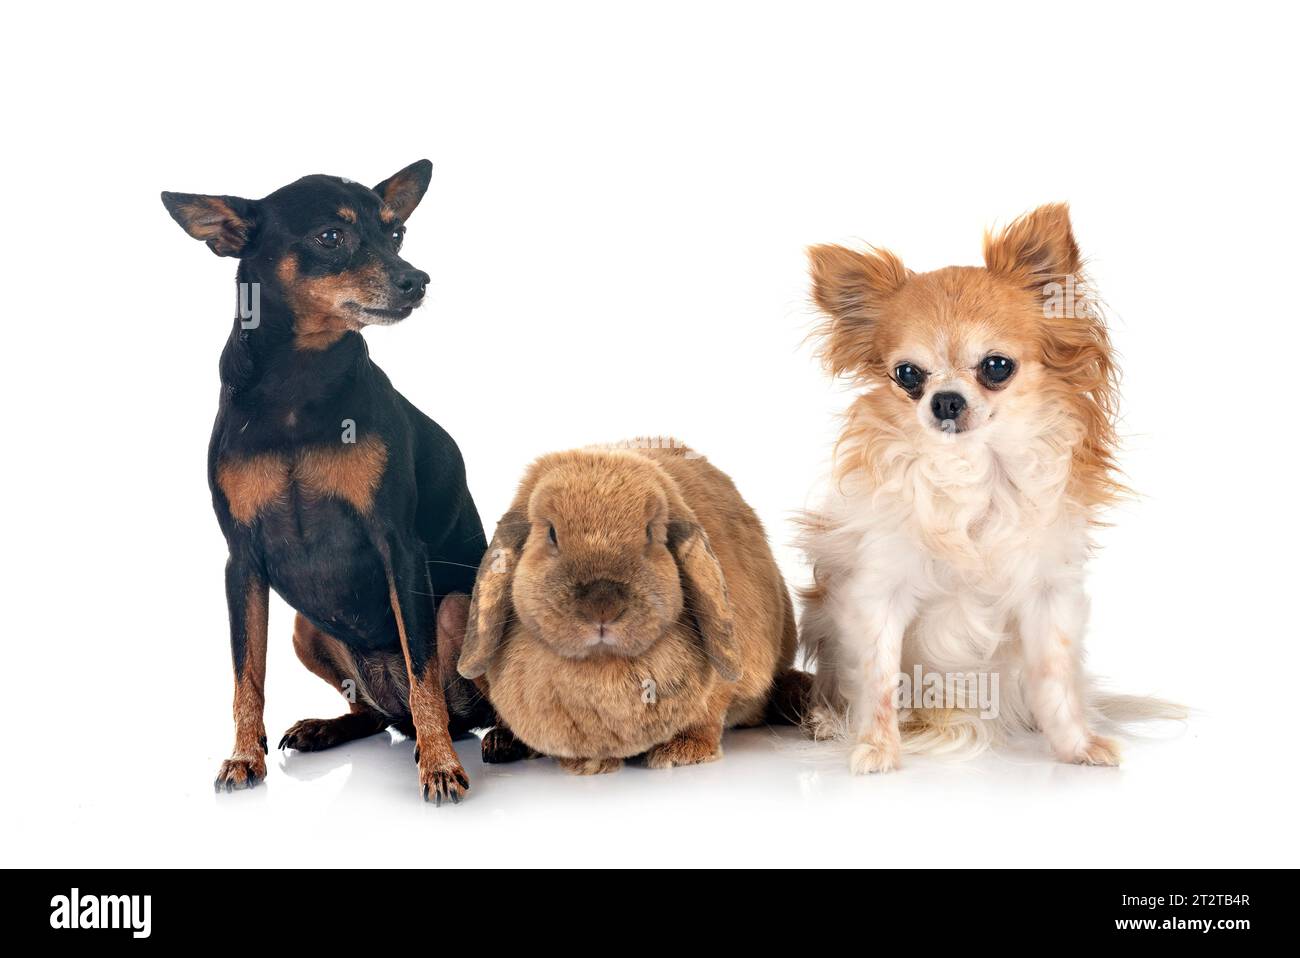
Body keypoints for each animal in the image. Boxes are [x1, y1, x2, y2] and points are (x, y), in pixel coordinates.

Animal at [454, 440, 810, 774]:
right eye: (551, 533)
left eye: (651, 532)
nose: (602, 605)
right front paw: (586, 764)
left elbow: (708, 712)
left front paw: (681, 751)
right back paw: (501, 743)